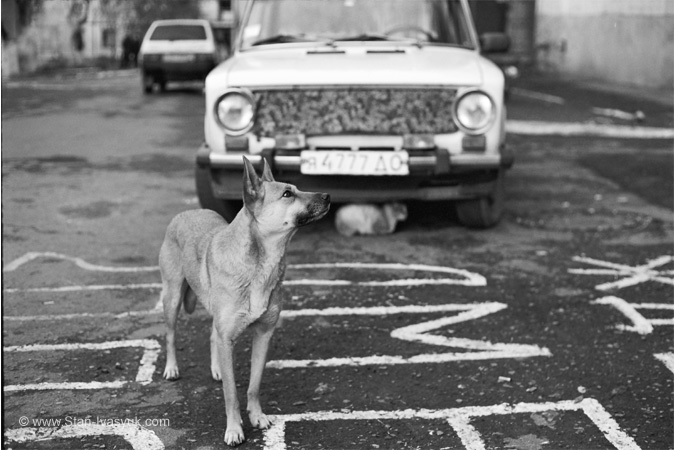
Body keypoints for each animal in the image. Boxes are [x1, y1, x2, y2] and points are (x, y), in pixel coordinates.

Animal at [159, 156, 330, 446]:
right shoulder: (229, 337)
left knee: (211, 335)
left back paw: (216, 368)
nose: (328, 195)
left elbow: (253, 385)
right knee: (170, 334)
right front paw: (234, 429)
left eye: (296, 188)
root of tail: (187, 212)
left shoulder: (263, 335)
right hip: (172, 298)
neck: (261, 264)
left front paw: (256, 416)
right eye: (287, 194)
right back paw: (172, 368)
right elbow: (231, 393)